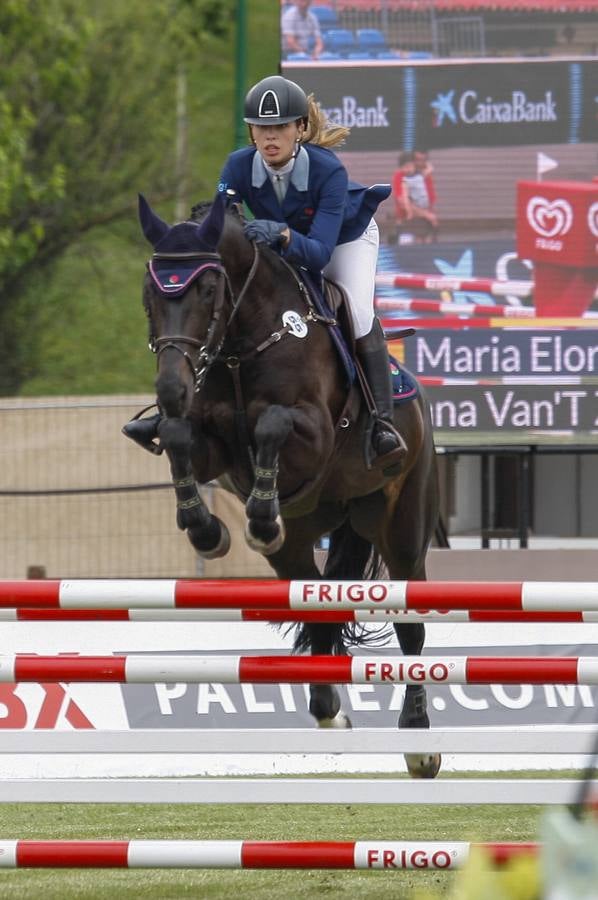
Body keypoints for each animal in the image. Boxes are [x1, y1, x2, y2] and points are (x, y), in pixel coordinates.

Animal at [137, 193, 446, 776]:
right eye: (149, 291)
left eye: (208, 290)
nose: (169, 389)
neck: (242, 344)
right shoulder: (212, 444)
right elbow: (180, 434)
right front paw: (207, 529)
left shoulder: (315, 434)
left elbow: (272, 425)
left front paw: (258, 516)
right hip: (301, 542)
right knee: (316, 601)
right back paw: (330, 710)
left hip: (402, 528)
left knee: (411, 625)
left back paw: (420, 742)